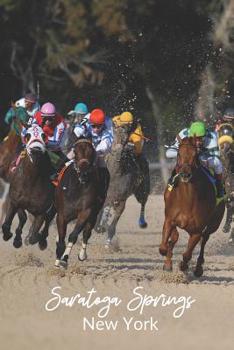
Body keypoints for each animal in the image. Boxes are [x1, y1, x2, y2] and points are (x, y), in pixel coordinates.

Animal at [54, 137, 102, 268]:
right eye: (75, 151)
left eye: (91, 151)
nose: (84, 173)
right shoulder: (62, 214)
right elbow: (61, 237)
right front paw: (58, 258)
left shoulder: (86, 212)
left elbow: (74, 235)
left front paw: (64, 259)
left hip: (94, 213)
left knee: (86, 233)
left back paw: (82, 254)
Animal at [159, 137, 225, 276]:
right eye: (179, 154)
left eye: (195, 155)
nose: (185, 174)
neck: (187, 199)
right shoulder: (169, 219)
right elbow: (164, 246)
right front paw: (167, 263)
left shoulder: (197, 231)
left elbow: (187, 254)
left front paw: (183, 265)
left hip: (214, 224)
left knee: (204, 240)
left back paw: (198, 268)